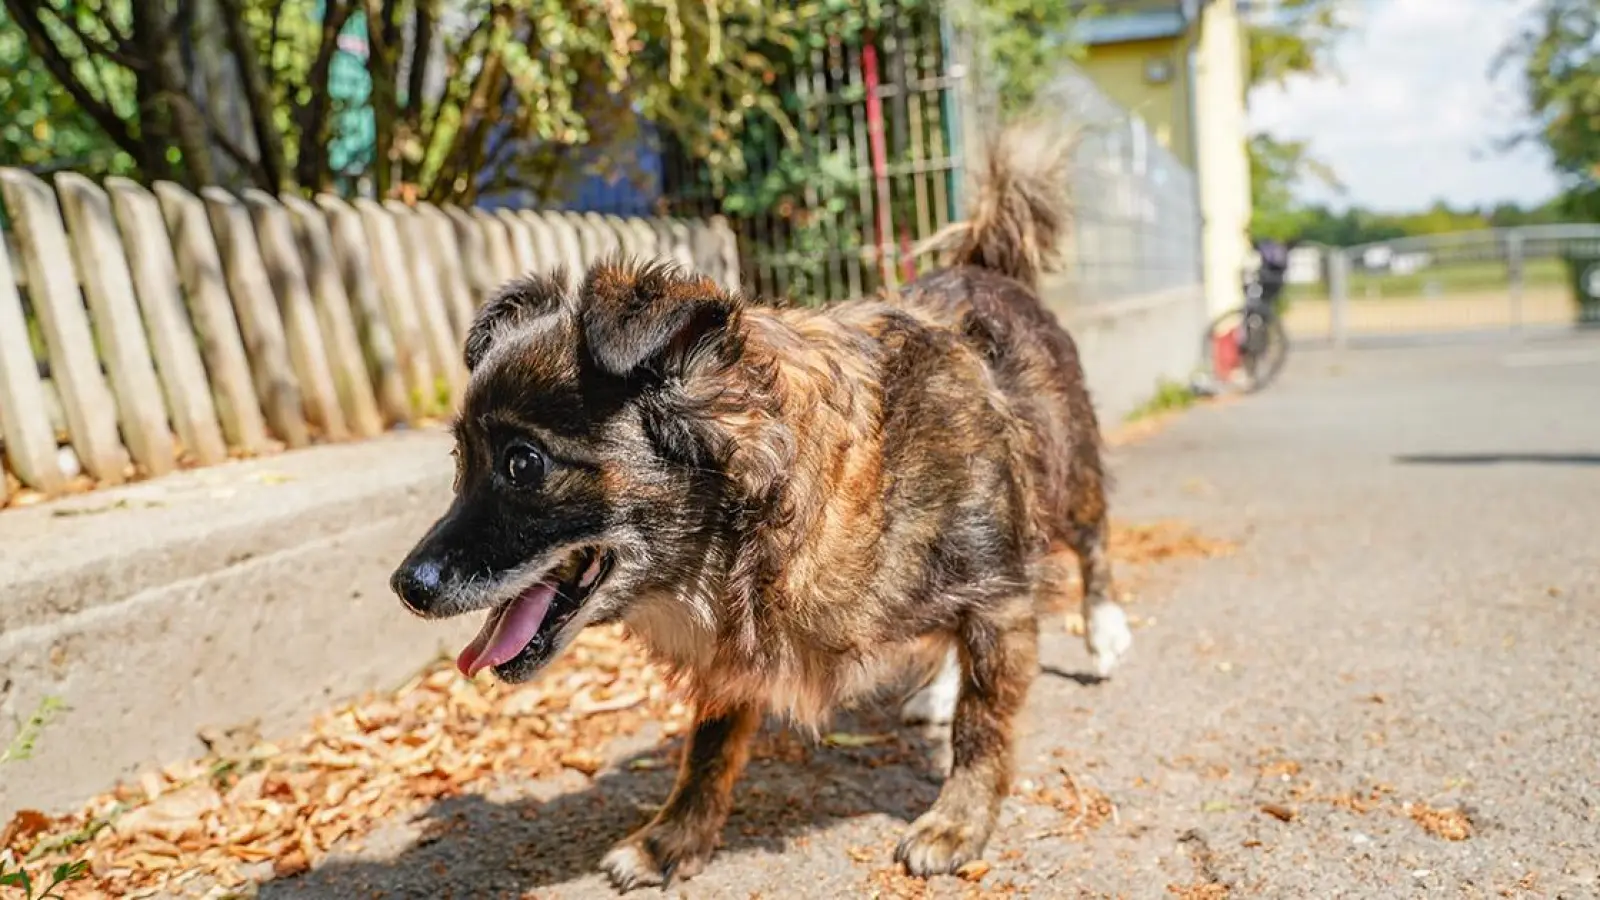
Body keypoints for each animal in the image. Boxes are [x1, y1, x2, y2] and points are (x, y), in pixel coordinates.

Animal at [392, 122, 1132, 883]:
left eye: (523, 463)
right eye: (460, 463)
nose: (405, 586)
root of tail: (988, 267)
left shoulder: (1000, 595)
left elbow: (983, 726)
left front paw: (958, 823)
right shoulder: (737, 642)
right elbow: (709, 744)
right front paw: (672, 839)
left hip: (1068, 479)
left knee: (1094, 540)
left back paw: (1103, 633)